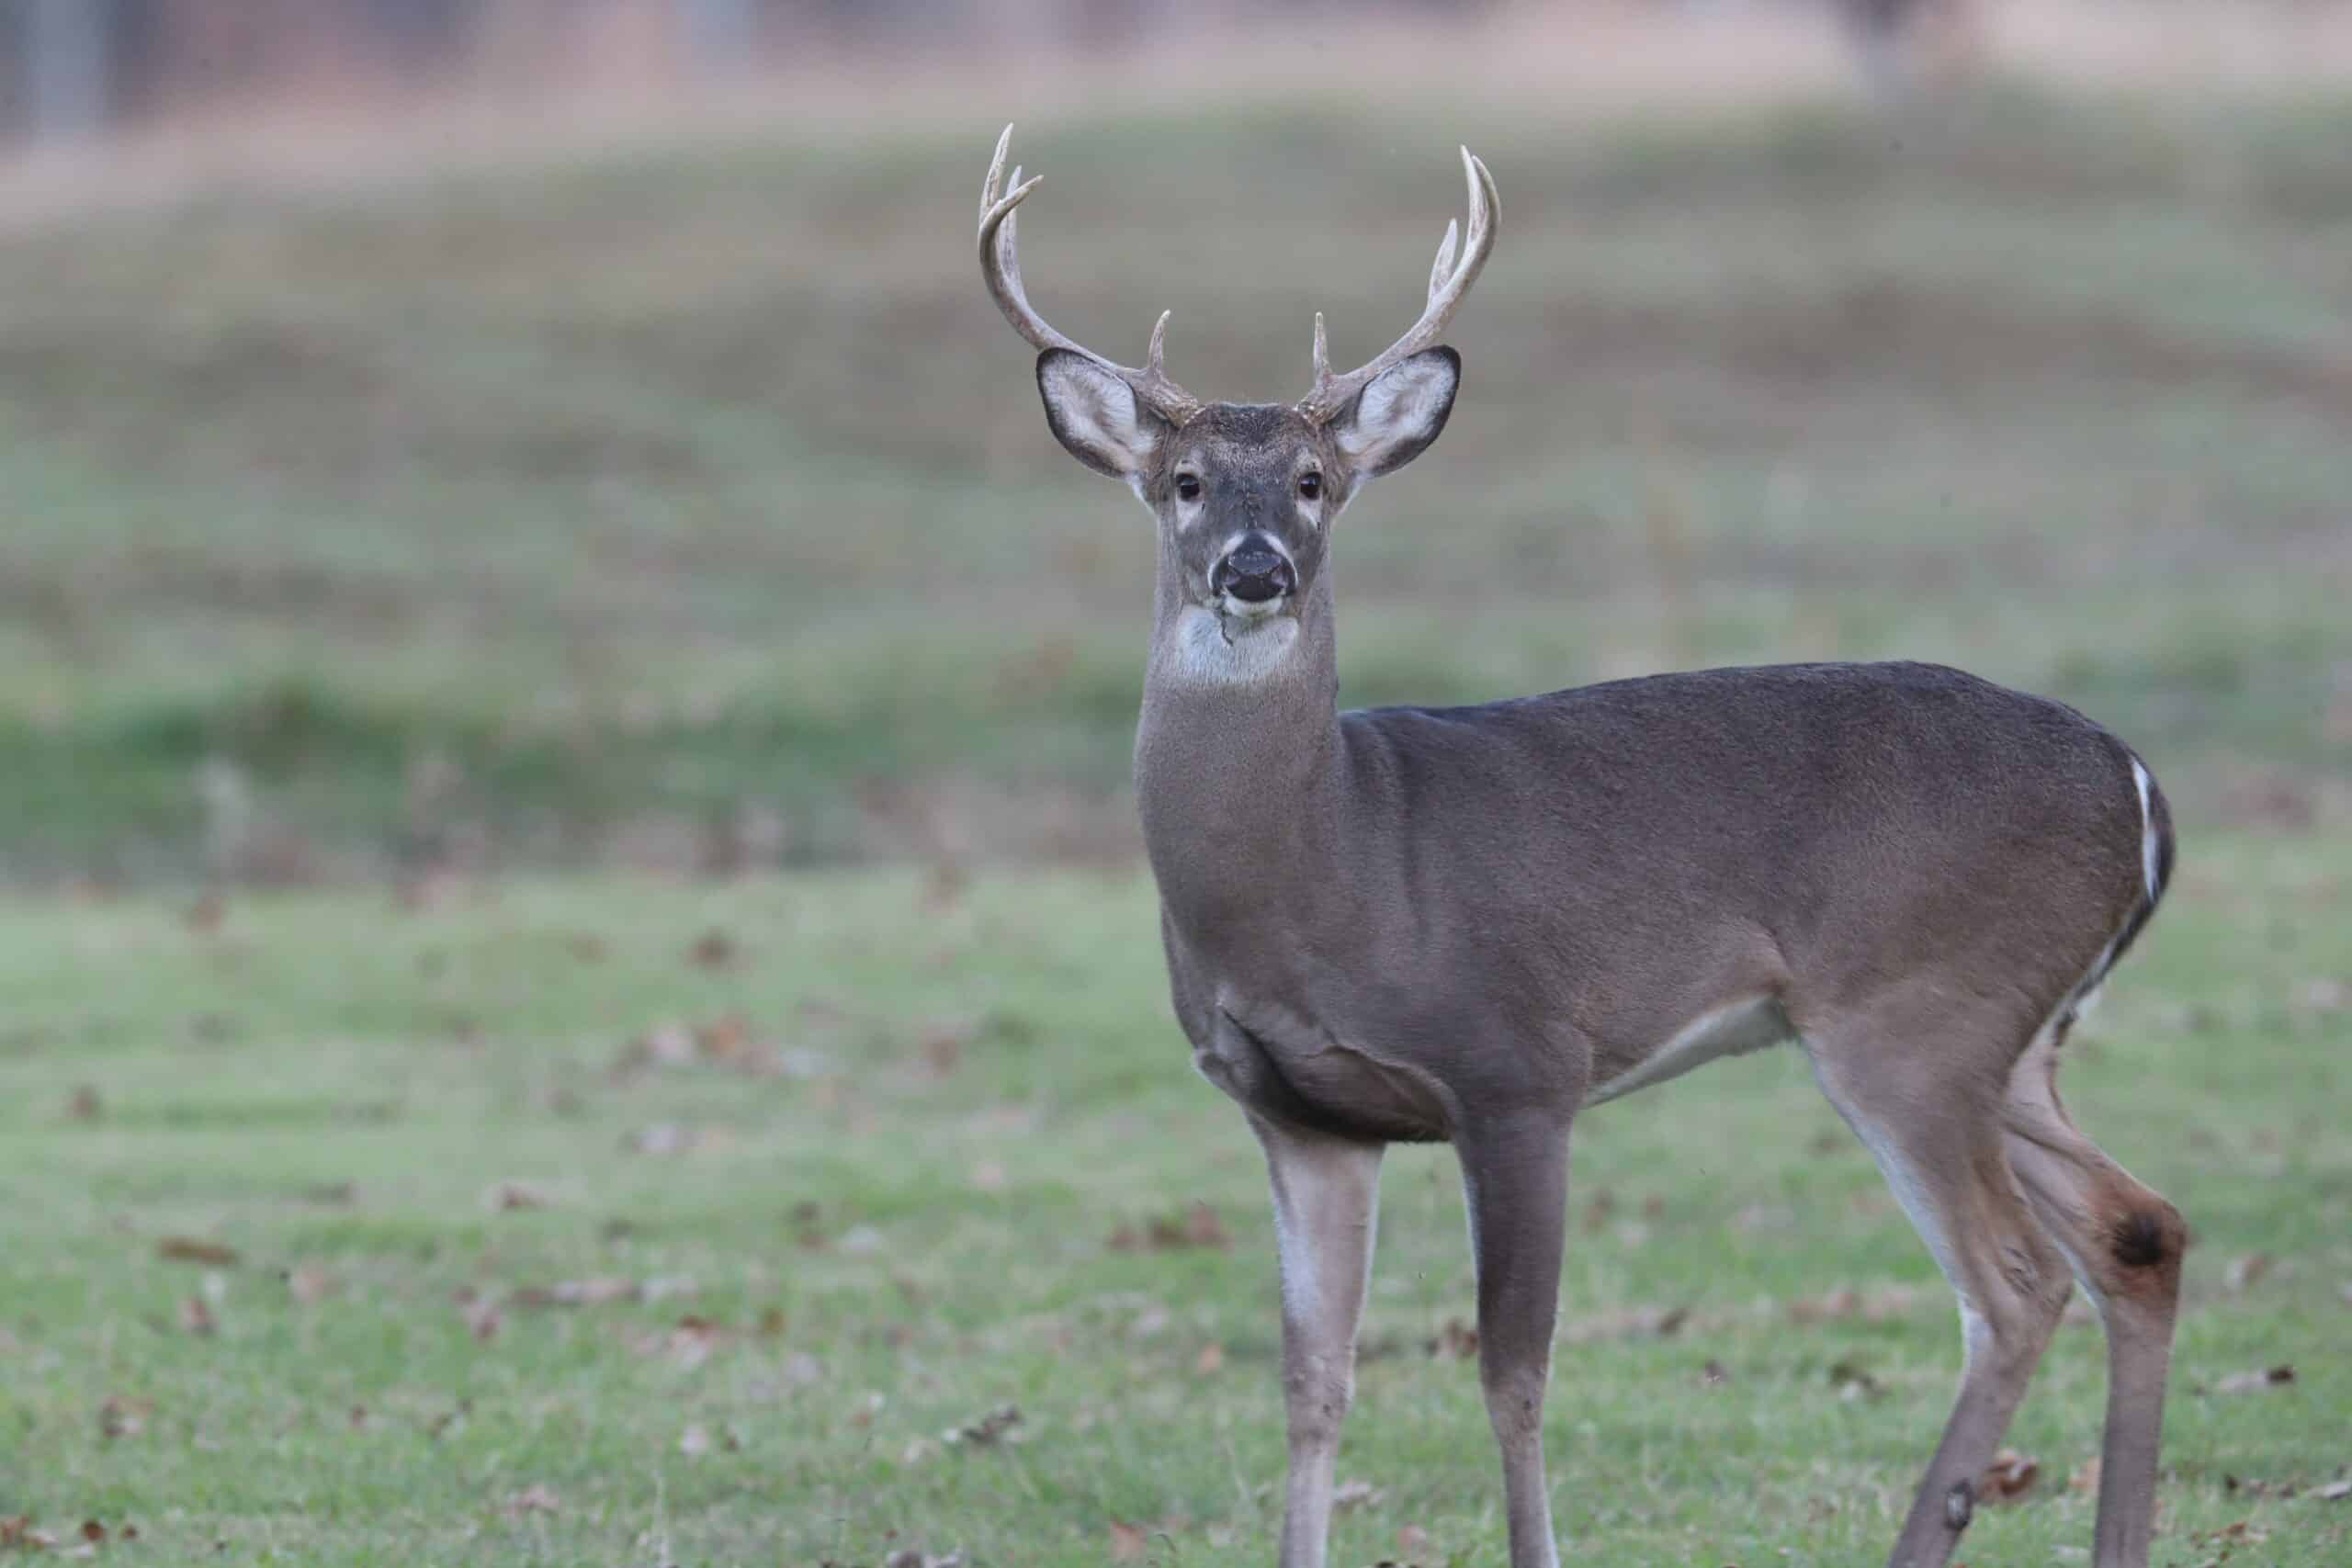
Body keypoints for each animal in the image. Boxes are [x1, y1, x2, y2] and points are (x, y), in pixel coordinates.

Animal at [976, 125, 2185, 1568]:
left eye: (1316, 482)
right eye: (1187, 482)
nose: (1256, 566)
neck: (1332, 862)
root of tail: (2140, 787)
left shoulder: (1517, 1065)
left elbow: (1514, 1371)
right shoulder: (1298, 1116)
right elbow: (1314, 1380)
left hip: (1915, 1015)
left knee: (2012, 1283)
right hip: (2018, 1036)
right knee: (2138, 1230)